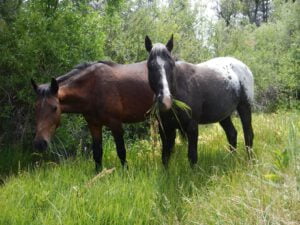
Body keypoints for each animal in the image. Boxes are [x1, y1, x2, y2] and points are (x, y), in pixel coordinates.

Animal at [144, 35, 254, 167]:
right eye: (150, 66)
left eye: (171, 65)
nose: (165, 100)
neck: (180, 88)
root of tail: (244, 67)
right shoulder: (165, 128)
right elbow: (165, 156)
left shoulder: (192, 127)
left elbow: (192, 157)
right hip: (223, 115)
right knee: (232, 134)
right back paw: (232, 159)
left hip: (245, 107)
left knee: (248, 135)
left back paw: (251, 162)